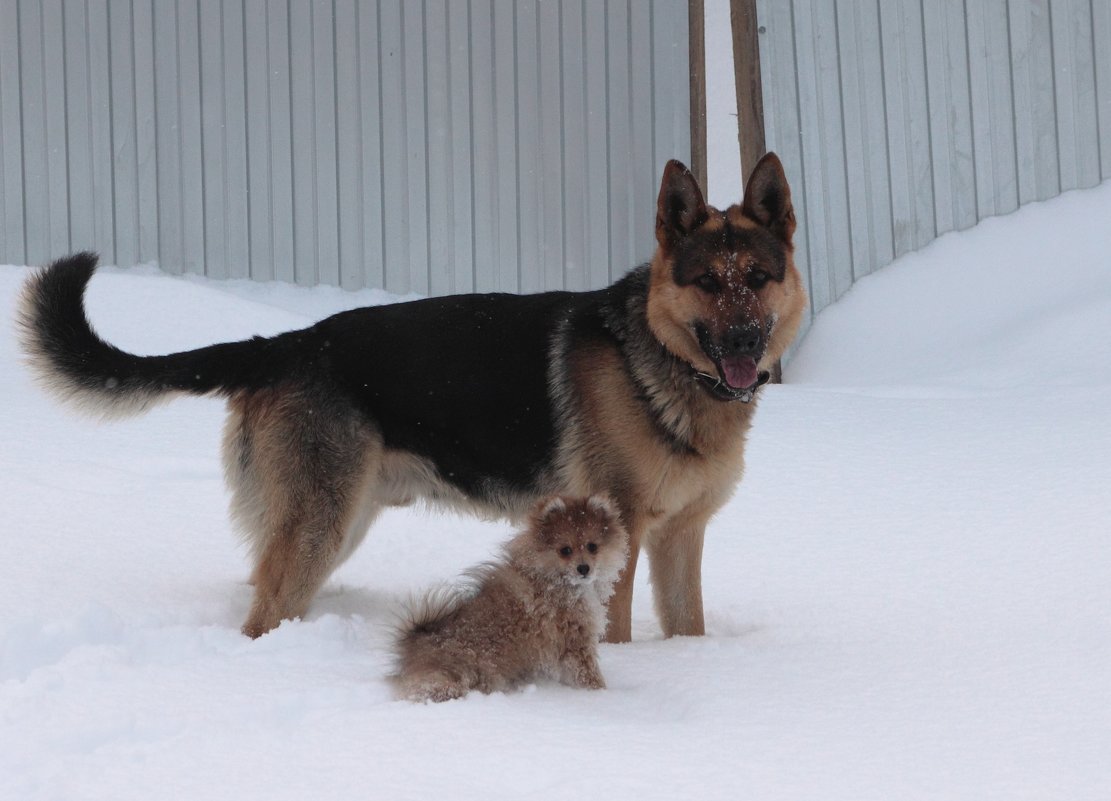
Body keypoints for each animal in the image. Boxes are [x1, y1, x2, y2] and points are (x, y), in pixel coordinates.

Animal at [19, 153, 808, 644]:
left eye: (758, 278)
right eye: (707, 282)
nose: (744, 342)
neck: (663, 364)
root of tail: (286, 342)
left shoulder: (680, 537)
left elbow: (688, 624)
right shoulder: (618, 540)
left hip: (337, 521)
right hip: (322, 524)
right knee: (264, 610)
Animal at [393, 493, 626, 702]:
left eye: (592, 546)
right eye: (565, 550)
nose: (583, 568)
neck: (554, 581)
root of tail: (414, 644)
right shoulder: (575, 641)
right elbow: (588, 674)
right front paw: (601, 694)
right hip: (472, 668)